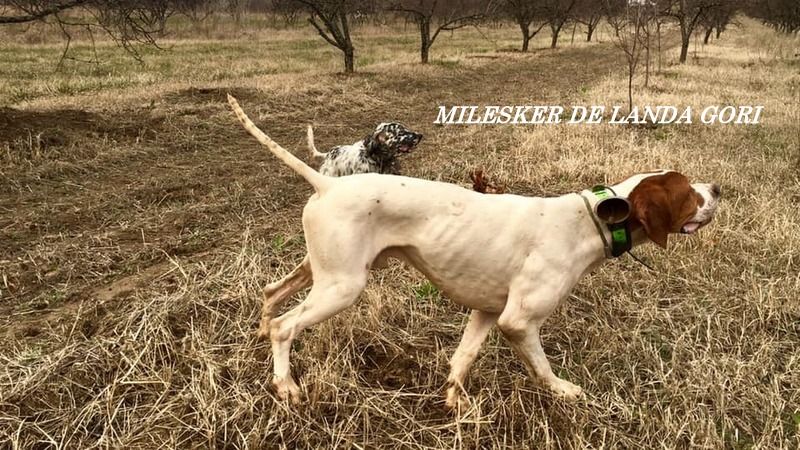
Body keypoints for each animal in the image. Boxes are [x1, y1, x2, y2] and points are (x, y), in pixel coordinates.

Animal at [228, 95, 720, 408]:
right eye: (686, 192)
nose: (717, 188)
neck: (590, 218)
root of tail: (327, 181)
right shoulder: (518, 322)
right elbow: (542, 368)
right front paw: (563, 390)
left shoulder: (486, 312)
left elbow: (461, 359)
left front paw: (455, 404)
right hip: (342, 287)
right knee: (286, 327)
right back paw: (286, 385)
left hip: (321, 270)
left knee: (271, 294)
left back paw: (260, 333)